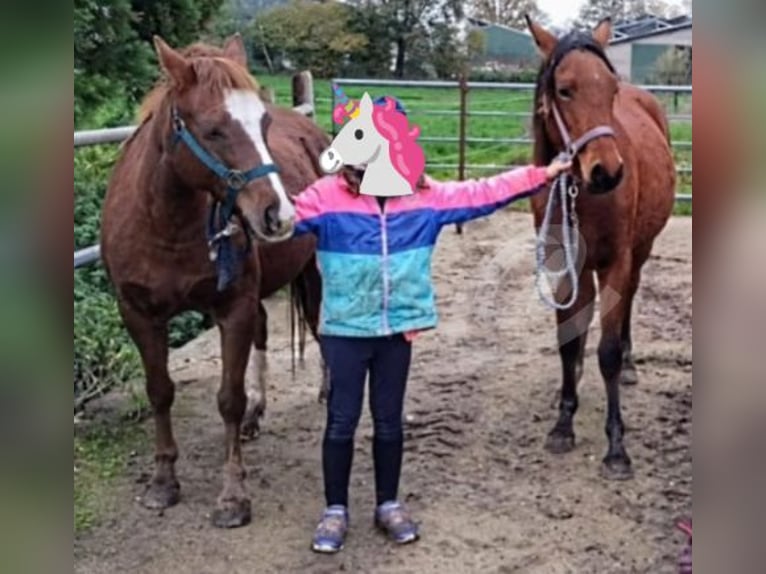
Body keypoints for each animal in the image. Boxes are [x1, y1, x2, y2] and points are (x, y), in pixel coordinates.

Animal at [101, 32, 328, 528]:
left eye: (262, 122)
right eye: (212, 130)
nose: (279, 215)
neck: (165, 226)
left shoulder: (232, 309)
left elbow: (228, 398)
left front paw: (232, 496)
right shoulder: (138, 314)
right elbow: (160, 391)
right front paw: (163, 481)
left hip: (318, 271)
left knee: (325, 328)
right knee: (266, 330)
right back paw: (258, 413)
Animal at [528, 16, 680, 482]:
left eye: (610, 89)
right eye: (564, 89)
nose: (607, 171)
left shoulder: (617, 260)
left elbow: (608, 352)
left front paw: (616, 447)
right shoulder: (564, 265)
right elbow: (567, 340)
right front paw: (563, 421)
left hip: (639, 252)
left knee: (628, 300)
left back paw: (630, 364)